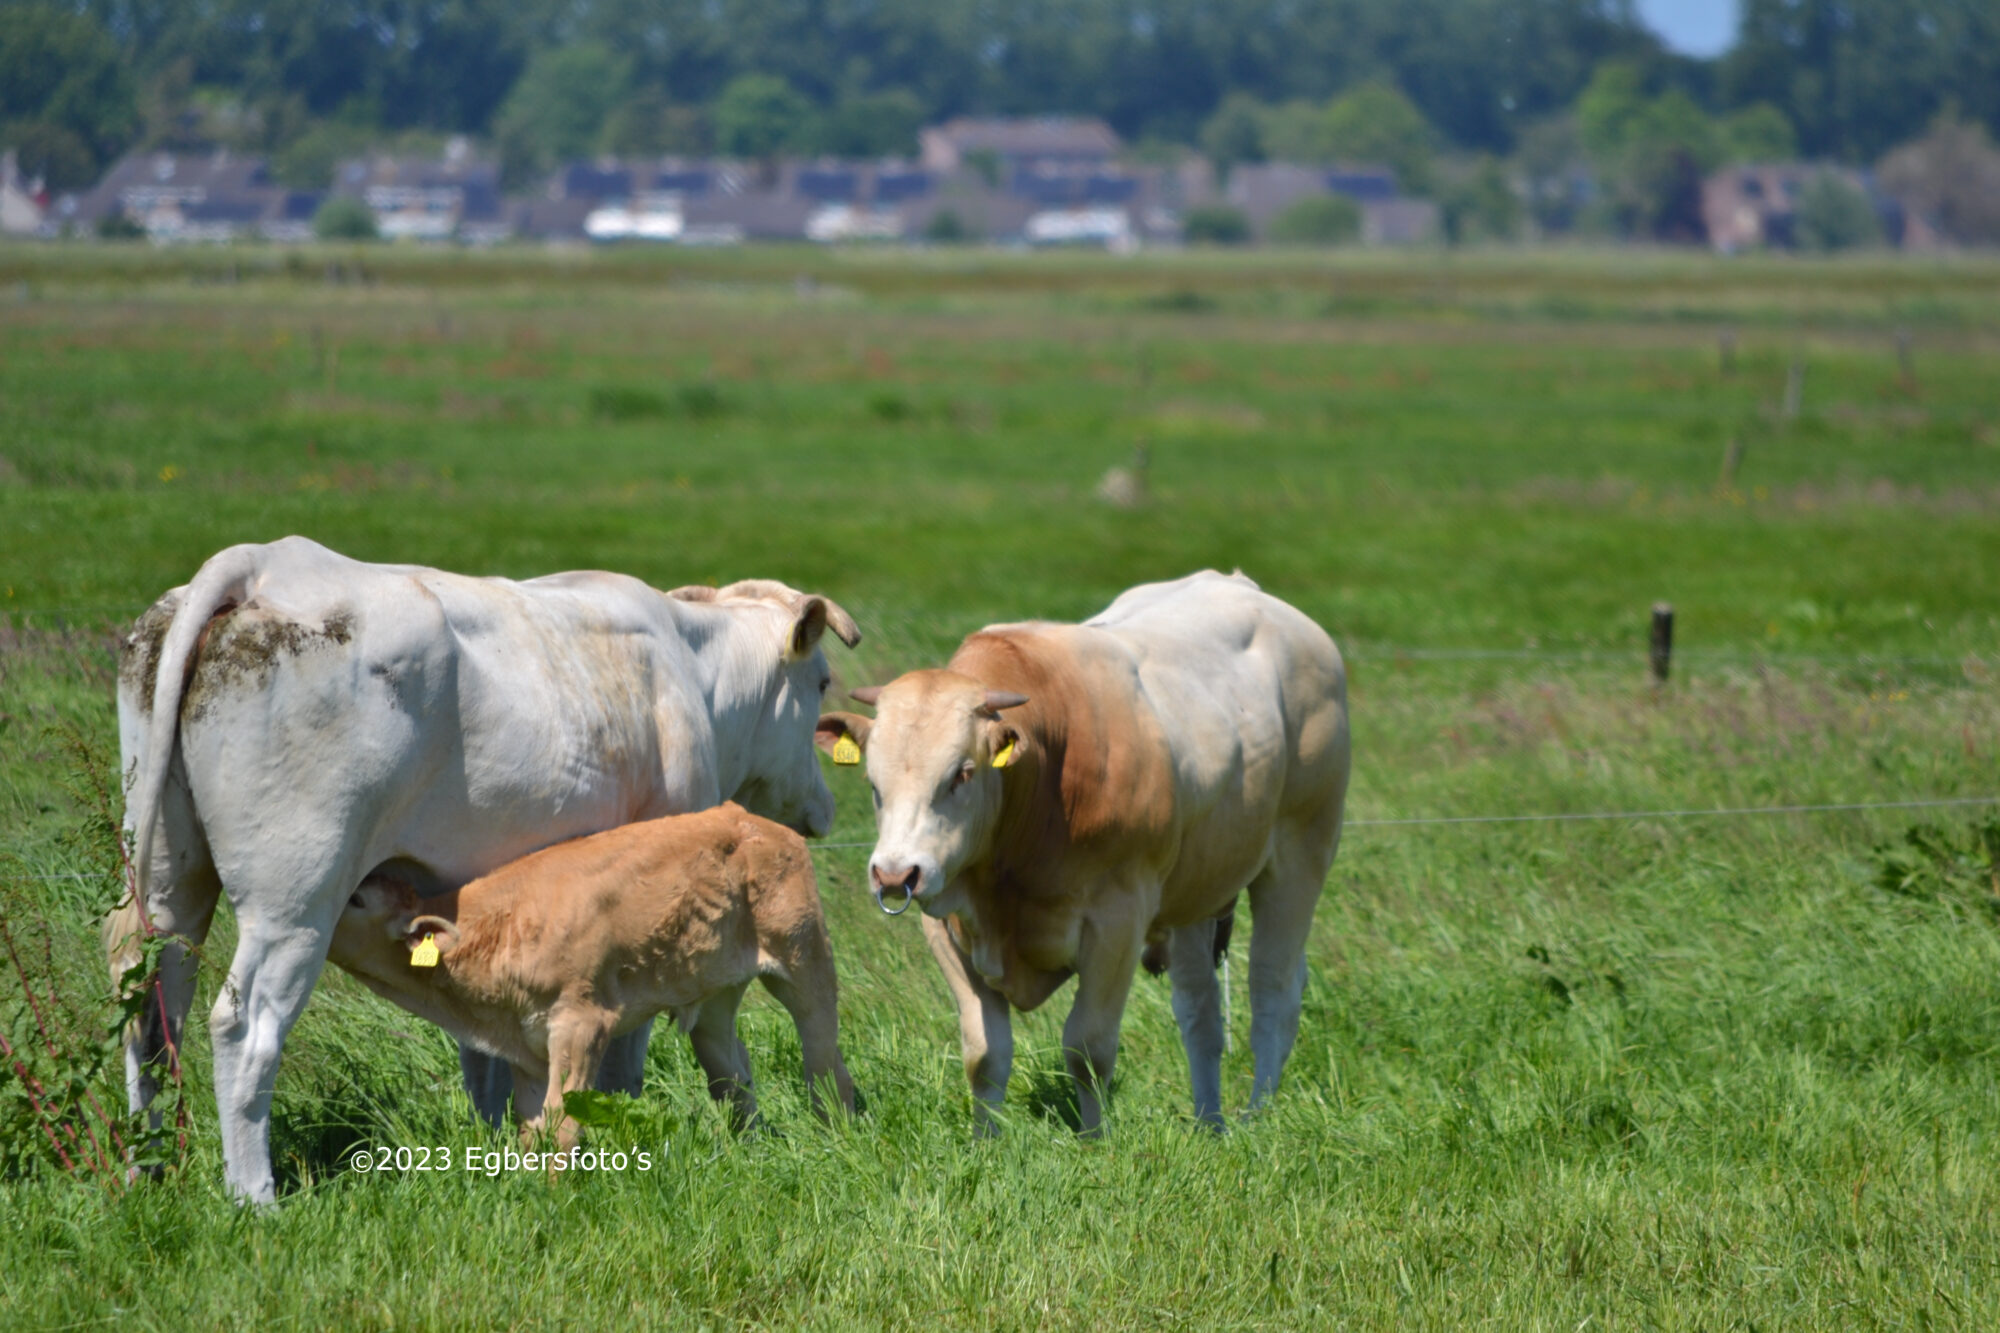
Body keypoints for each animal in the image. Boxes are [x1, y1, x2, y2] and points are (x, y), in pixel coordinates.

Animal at [107, 536, 860, 1200]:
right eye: (822, 681)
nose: (825, 807)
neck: (693, 673)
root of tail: (262, 562)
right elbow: (624, 1054)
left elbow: (487, 1055)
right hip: (294, 903)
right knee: (244, 1025)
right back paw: (253, 1194)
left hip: (172, 880)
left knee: (151, 1002)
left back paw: (149, 1170)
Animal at [820, 564, 1352, 1128]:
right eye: (873, 783)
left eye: (961, 773)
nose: (894, 875)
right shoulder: (946, 924)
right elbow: (985, 1054)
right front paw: (984, 1140)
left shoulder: (1117, 922)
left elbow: (1087, 1049)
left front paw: (1094, 1140)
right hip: (1198, 888)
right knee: (1200, 1009)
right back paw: (1210, 1124)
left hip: (1301, 854)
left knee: (1274, 989)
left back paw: (1257, 1115)